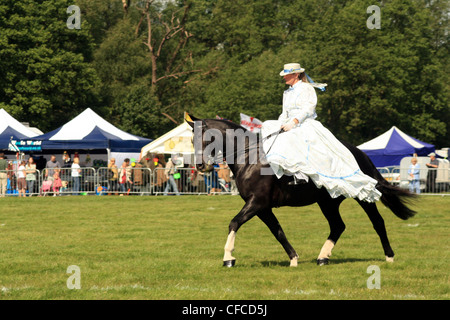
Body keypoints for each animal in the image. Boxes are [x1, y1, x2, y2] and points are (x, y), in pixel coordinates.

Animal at [185, 115, 414, 268]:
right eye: (191, 139)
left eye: (207, 138)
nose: (200, 166)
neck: (249, 157)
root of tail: (359, 152)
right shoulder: (262, 207)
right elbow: (278, 231)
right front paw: (294, 259)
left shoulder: (257, 202)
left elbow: (234, 223)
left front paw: (228, 258)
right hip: (328, 202)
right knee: (338, 226)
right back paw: (323, 257)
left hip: (362, 197)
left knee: (377, 222)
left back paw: (389, 256)